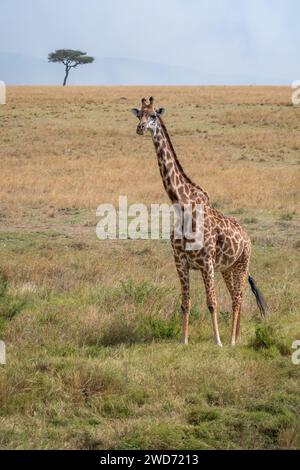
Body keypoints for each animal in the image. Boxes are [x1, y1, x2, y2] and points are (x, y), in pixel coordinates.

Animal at [130, 97, 266, 346]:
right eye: (139, 115)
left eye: (153, 115)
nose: (140, 128)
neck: (182, 204)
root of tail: (248, 237)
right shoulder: (180, 261)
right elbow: (186, 303)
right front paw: (183, 341)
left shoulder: (207, 262)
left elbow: (212, 303)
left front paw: (218, 342)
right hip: (227, 268)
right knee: (236, 296)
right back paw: (236, 336)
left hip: (242, 263)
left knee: (238, 297)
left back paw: (231, 341)